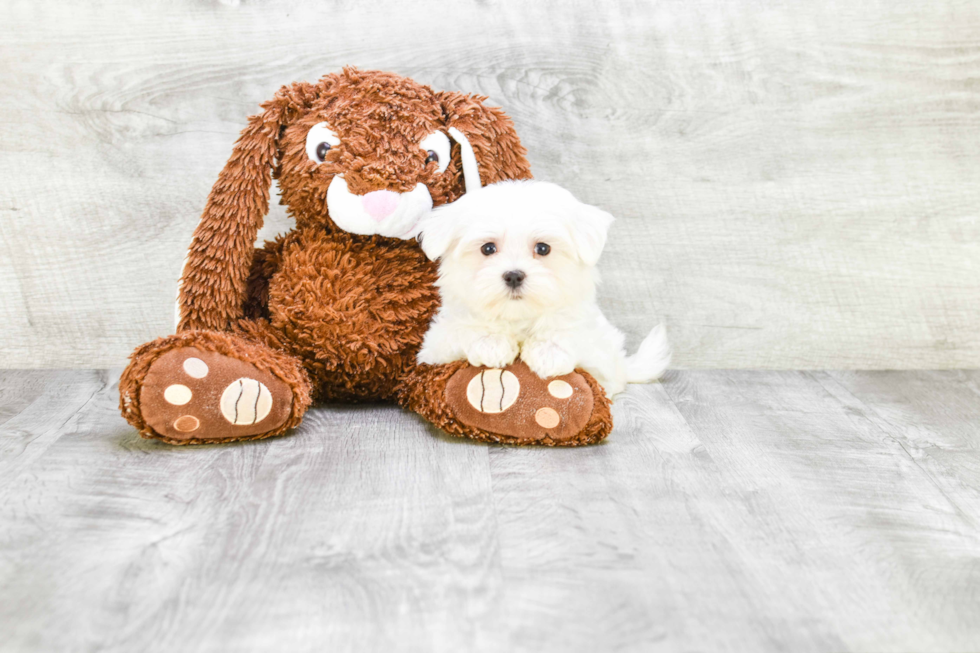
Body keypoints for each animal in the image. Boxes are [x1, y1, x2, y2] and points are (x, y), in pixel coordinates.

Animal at [418, 177, 668, 398]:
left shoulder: (600, 356)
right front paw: (491, 342)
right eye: (488, 248)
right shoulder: (435, 345)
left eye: (543, 248)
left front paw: (549, 352)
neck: (518, 317)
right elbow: (464, 329)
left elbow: (568, 331)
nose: (514, 276)